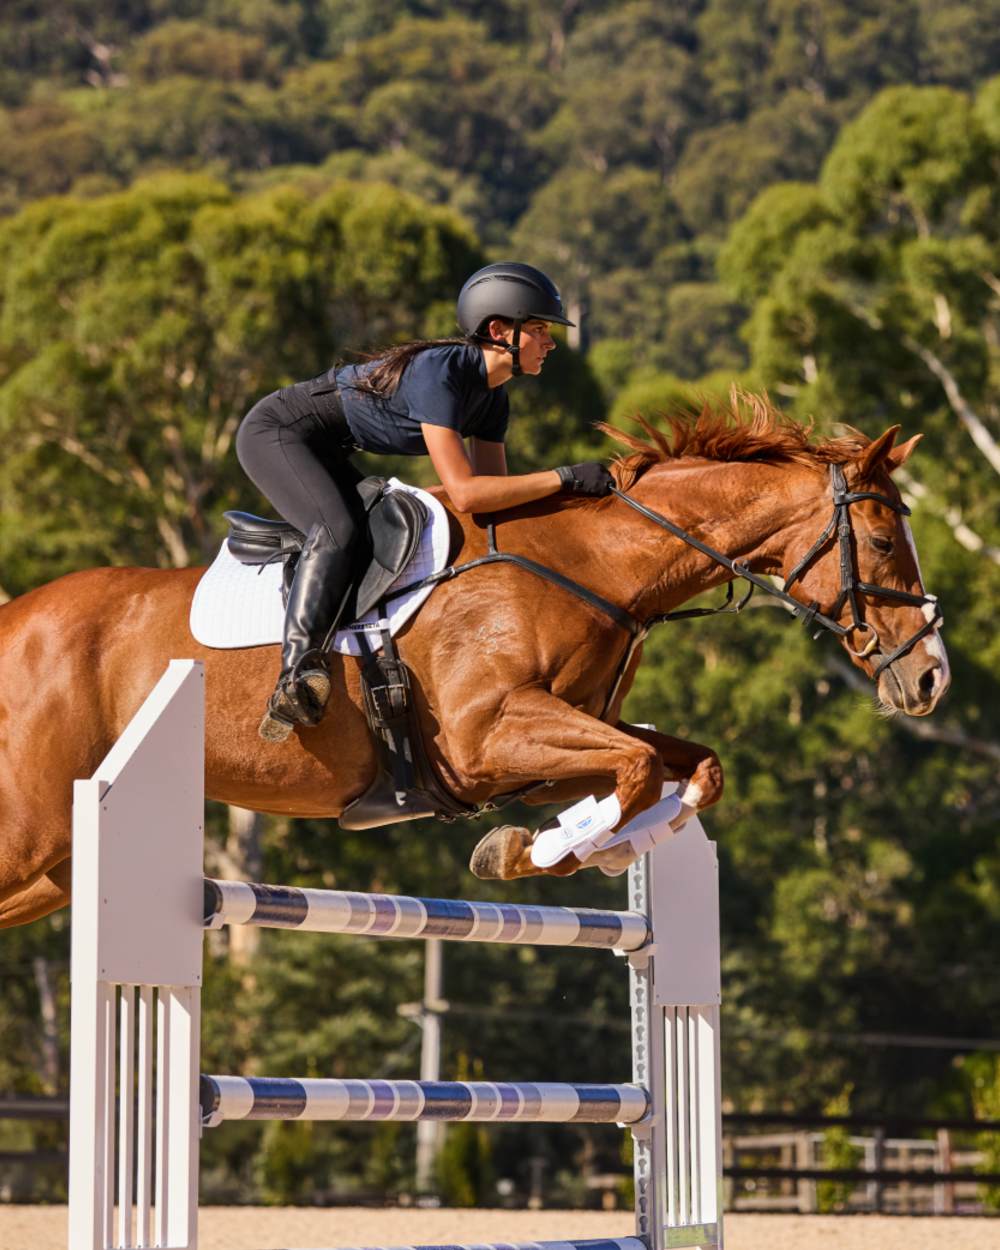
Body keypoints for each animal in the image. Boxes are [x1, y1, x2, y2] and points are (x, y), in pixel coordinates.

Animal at [0, 397, 950, 928]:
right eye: (879, 540)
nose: (932, 676)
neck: (591, 563)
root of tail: (16, 618)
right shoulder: (486, 737)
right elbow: (640, 768)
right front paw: (540, 850)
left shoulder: (552, 745)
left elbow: (685, 769)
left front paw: (587, 847)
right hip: (33, 830)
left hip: (56, 866)